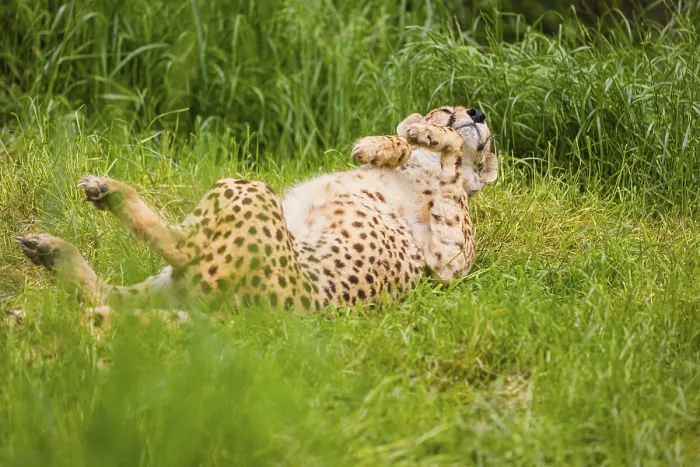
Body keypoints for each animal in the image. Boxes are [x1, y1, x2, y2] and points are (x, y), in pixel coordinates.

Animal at [15, 105, 497, 325]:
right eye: (449, 108)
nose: (476, 112)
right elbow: (407, 144)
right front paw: (388, 142)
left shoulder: (448, 265)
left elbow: (454, 164)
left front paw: (424, 135)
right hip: (171, 282)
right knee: (110, 294)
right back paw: (51, 252)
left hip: (248, 191)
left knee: (177, 246)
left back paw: (108, 196)